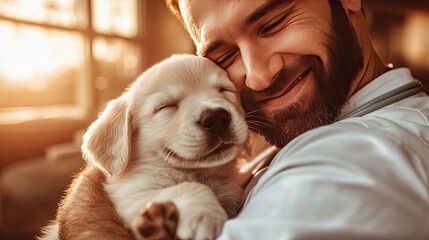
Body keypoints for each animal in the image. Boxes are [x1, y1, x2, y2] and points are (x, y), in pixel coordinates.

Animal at [41, 54, 247, 240]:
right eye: (166, 106)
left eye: (224, 90)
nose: (216, 118)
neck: (199, 172)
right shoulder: (129, 197)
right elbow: (186, 186)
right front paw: (204, 216)